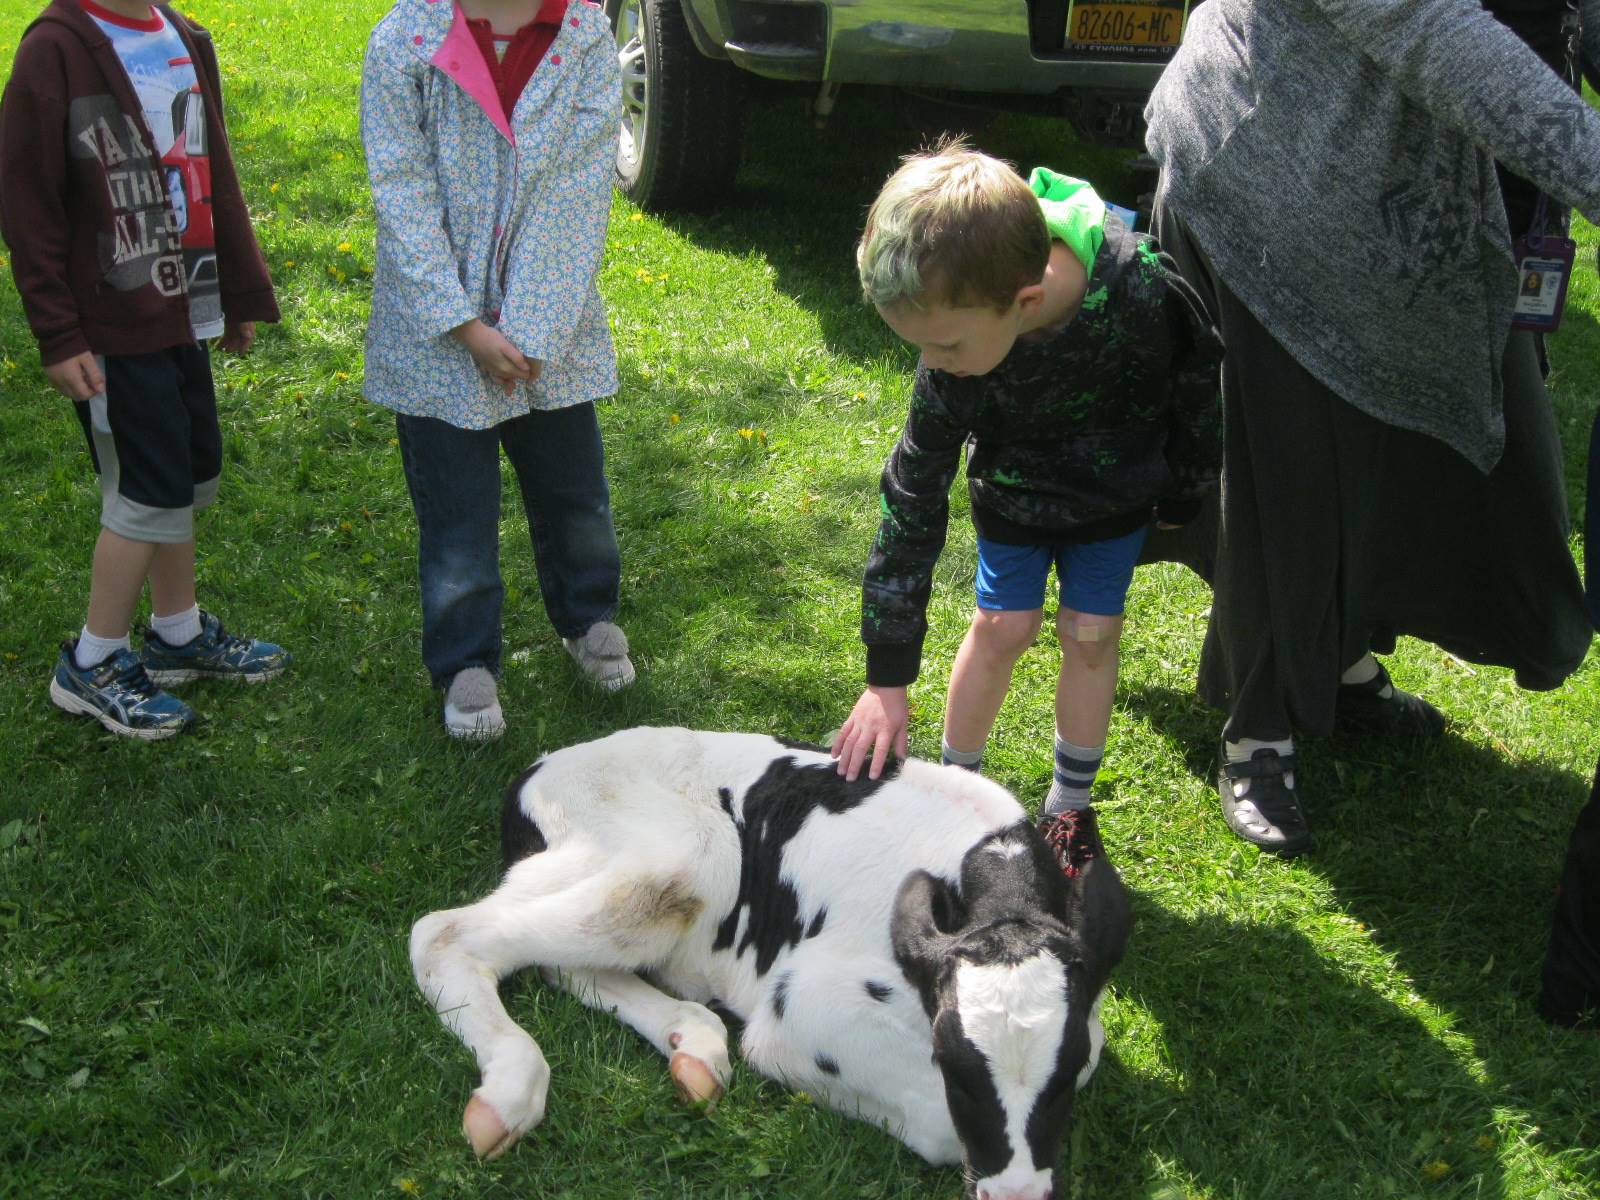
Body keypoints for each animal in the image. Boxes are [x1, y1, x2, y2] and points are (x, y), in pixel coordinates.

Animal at [416, 729, 1139, 1196]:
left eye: (1062, 1072)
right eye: (957, 1069)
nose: (1016, 1194)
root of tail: (534, 771)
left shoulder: (1088, 1020)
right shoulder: (802, 1008)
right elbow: (937, 1124)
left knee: (557, 962)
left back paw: (694, 1047)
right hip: (683, 859)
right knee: (442, 934)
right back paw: (509, 1092)